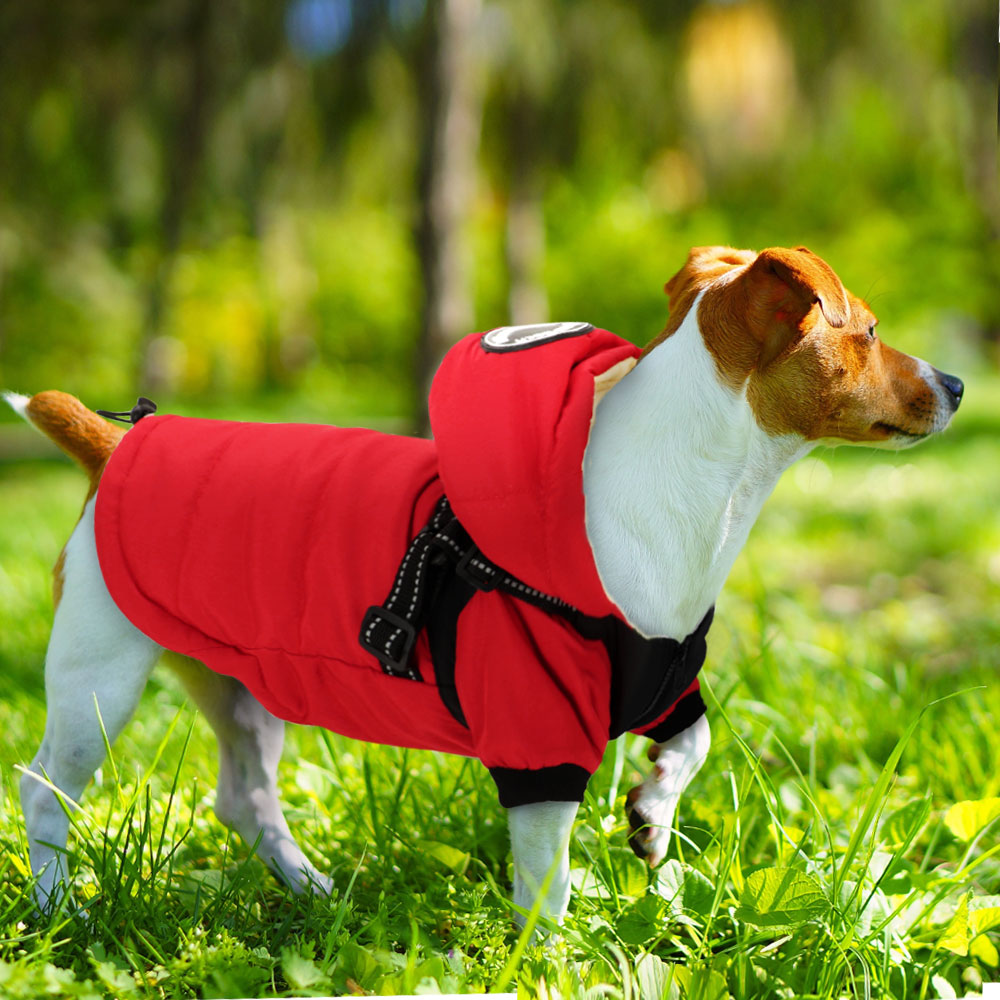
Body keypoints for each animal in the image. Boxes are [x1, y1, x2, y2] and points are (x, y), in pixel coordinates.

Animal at [5, 248, 960, 920]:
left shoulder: (664, 679)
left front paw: (652, 812)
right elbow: (547, 879)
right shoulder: (538, 736)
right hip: (98, 680)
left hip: (241, 685)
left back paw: (311, 889)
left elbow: (692, 742)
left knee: (244, 796)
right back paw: (59, 911)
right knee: (47, 790)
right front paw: (550, 958)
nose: (955, 381)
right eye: (870, 331)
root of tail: (116, 445)